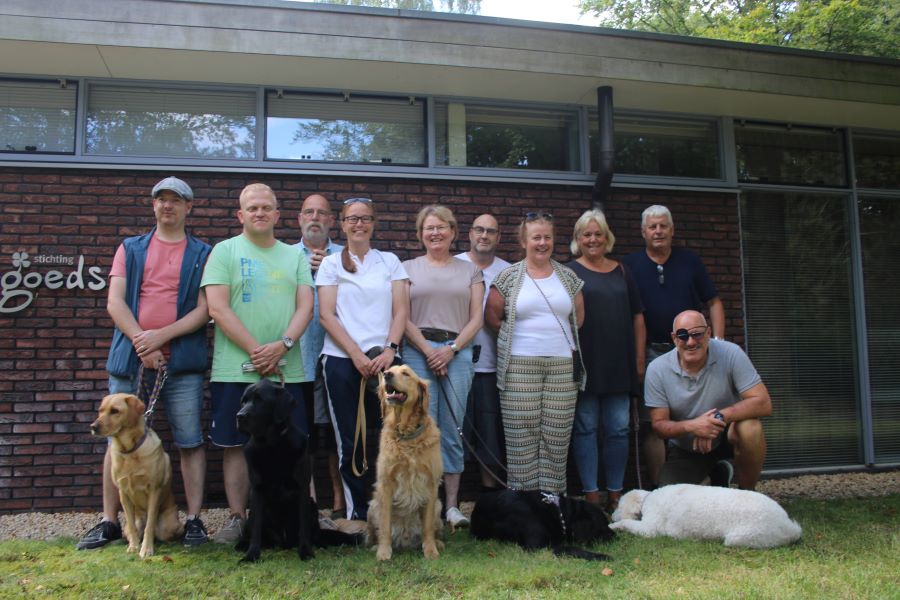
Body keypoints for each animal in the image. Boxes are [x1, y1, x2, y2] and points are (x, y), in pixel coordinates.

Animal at [236, 380, 362, 564]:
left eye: (260, 400)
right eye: (243, 401)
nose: (240, 416)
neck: (272, 445)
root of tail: (282, 543)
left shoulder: (302, 488)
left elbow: (303, 527)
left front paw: (305, 552)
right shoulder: (257, 490)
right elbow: (256, 528)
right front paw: (251, 554)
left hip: (312, 505)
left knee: (313, 533)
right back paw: (242, 544)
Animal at [468, 490, 616, 560]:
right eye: (603, 525)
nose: (615, 536)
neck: (557, 512)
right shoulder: (538, 547)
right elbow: (572, 548)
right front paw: (601, 556)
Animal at [612, 482, 800, 548]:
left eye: (618, 506)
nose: (611, 515)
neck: (648, 499)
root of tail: (787, 527)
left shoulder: (650, 528)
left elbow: (628, 523)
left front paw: (614, 525)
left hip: (743, 537)